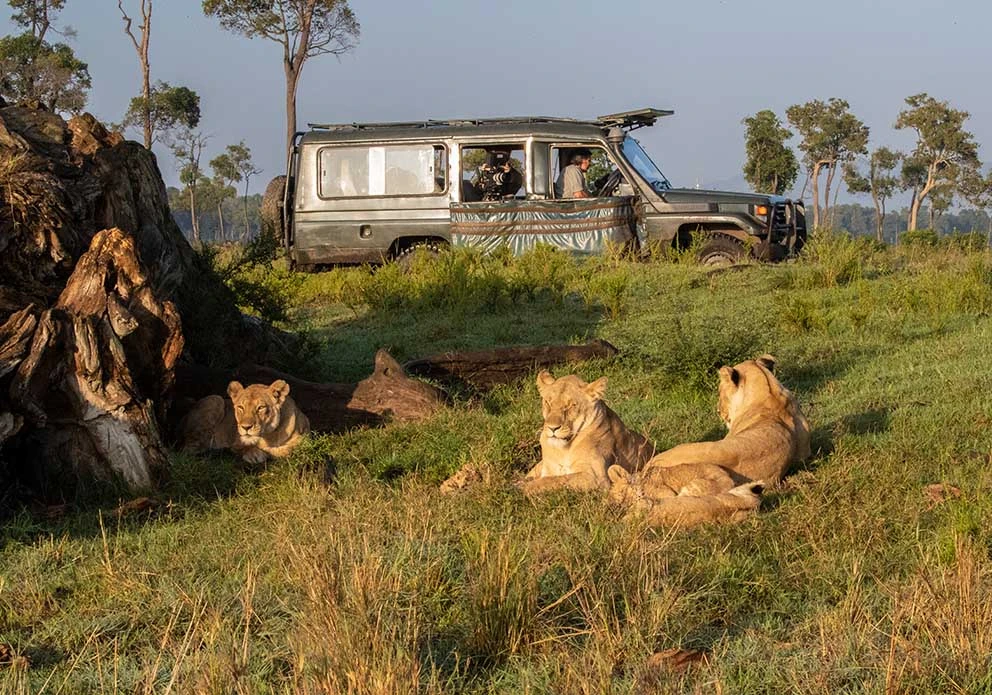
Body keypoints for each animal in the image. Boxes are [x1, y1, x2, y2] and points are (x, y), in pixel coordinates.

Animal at [179, 378, 310, 464]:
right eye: (241, 407)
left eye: (260, 408)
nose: (246, 427)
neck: (270, 437)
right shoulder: (236, 442)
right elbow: (243, 448)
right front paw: (255, 454)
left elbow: (293, 447)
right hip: (215, 399)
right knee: (188, 450)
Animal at [516, 370, 656, 494]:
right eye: (548, 403)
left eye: (571, 405)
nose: (552, 428)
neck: (563, 450)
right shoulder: (548, 466)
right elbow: (548, 478)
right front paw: (517, 484)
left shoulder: (596, 477)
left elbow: (556, 480)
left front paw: (520, 489)